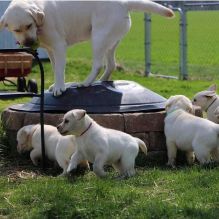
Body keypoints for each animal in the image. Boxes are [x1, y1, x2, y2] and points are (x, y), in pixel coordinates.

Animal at [0, 0, 175, 96]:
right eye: (17, 30)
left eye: (29, 25)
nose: (29, 42)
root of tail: (124, 3)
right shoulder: (50, 50)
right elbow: (56, 68)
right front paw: (57, 85)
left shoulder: (59, 46)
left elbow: (59, 70)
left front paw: (59, 88)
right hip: (110, 43)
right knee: (111, 65)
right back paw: (101, 81)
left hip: (98, 38)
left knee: (98, 64)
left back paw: (85, 83)